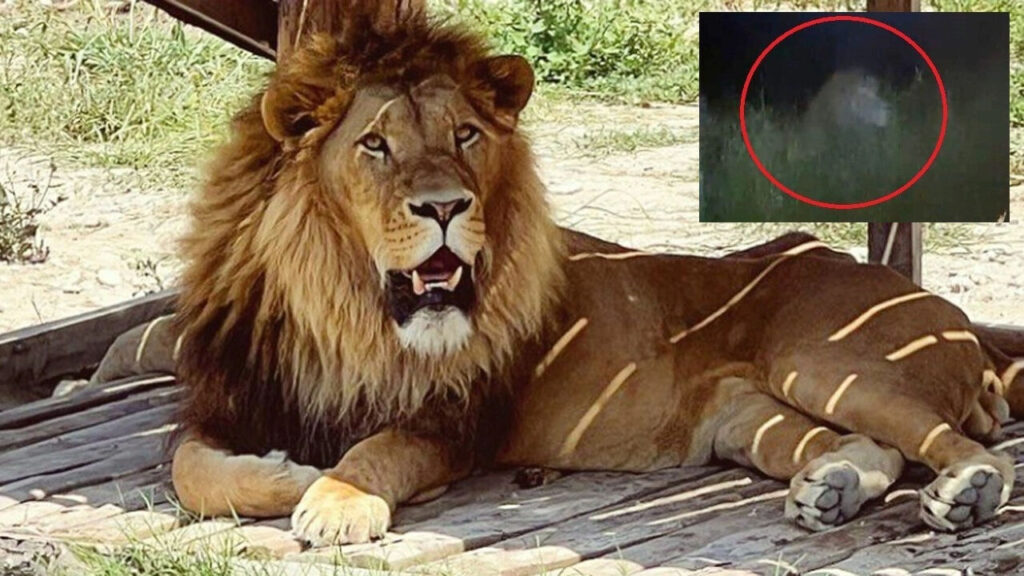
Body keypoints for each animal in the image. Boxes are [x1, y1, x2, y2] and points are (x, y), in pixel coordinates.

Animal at [92, 3, 1023, 546]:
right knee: (868, 448)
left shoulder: (455, 420)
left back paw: (967, 495)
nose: (445, 206)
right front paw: (287, 472)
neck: (342, 308)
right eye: (375, 144)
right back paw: (827, 491)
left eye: (466, 134)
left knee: (957, 444)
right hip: (751, 417)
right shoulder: (222, 401)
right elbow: (194, 473)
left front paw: (333, 495)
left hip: (825, 359)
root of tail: (947, 312)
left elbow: (379, 447)